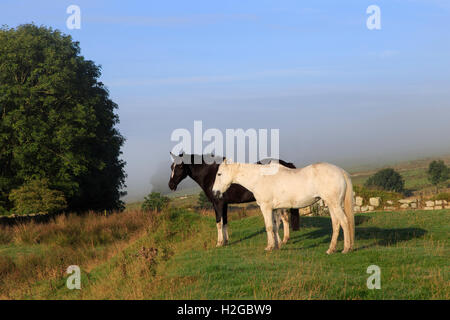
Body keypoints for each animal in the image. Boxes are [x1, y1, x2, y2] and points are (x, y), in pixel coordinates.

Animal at [168, 154, 298, 246]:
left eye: (180, 166)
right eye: (171, 167)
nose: (171, 185)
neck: (210, 174)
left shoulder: (217, 203)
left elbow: (218, 222)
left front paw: (219, 243)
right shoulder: (224, 204)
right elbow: (225, 222)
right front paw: (226, 241)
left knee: (282, 219)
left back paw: (282, 240)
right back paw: (284, 240)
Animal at [212, 161, 356, 254]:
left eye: (219, 174)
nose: (215, 192)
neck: (260, 178)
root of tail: (340, 171)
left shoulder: (266, 207)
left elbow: (269, 227)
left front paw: (269, 247)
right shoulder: (274, 209)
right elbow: (275, 227)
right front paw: (277, 246)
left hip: (335, 205)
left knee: (344, 222)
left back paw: (346, 249)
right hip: (332, 205)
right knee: (336, 224)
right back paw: (331, 249)